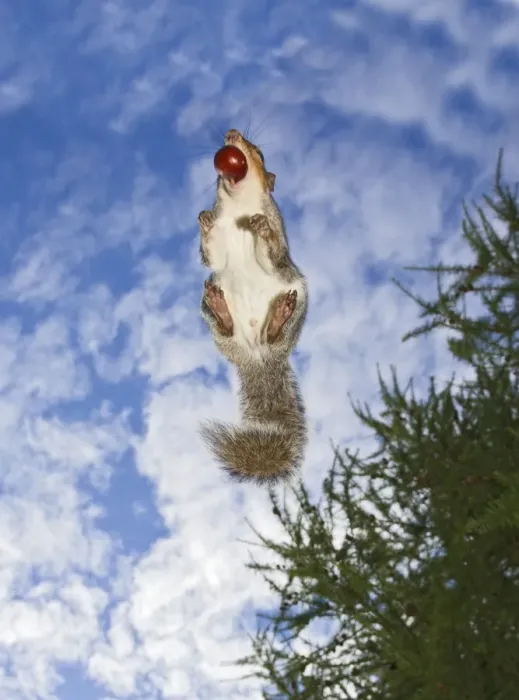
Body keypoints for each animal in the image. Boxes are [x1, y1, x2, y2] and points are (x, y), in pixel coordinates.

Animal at [197, 128, 308, 484]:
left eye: (258, 151)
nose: (231, 133)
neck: (238, 207)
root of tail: (258, 359)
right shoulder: (217, 250)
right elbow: (212, 254)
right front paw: (204, 220)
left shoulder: (277, 230)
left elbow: (273, 251)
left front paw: (262, 230)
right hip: (212, 316)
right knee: (226, 329)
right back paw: (221, 311)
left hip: (297, 295)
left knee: (277, 335)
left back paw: (278, 320)